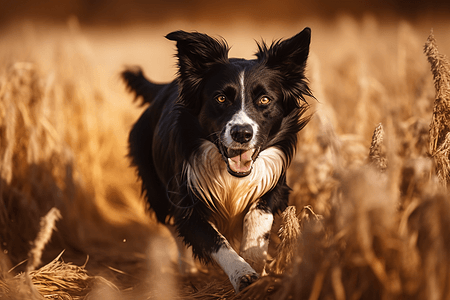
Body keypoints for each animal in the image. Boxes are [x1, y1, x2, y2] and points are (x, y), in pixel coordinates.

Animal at [123, 28, 312, 292]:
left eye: (265, 99)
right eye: (221, 98)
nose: (242, 133)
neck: (229, 173)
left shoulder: (276, 186)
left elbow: (258, 219)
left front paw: (256, 264)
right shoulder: (187, 202)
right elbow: (216, 241)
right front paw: (243, 274)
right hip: (156, 190)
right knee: (172, 224)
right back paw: (188, 269)